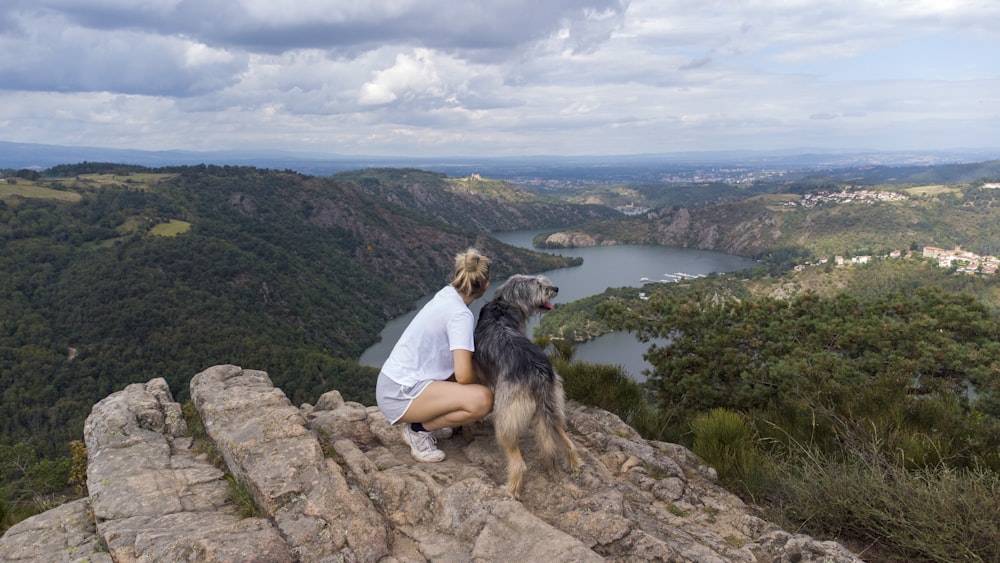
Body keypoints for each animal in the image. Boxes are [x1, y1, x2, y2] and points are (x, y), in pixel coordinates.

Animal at [474, 274, 584, 498]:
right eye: (538, 284)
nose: (555, 288)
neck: (504, 305)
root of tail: (538, 372)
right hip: (553, 404)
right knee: (567, 441)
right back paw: (574, 465)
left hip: (506, 416)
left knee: (518, 463)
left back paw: (510, 490)